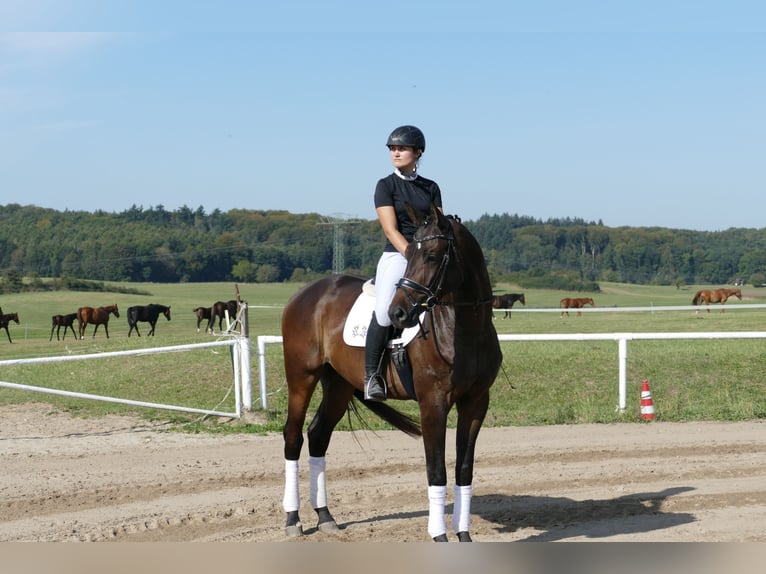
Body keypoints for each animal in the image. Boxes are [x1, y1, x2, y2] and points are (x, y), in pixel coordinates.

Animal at [282, 205, 504, 544]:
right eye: (410, 252)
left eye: (433, 256)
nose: (398, 313)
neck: (464, 327)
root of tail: (305, 294)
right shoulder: (433, 403)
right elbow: (436, 469)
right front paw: (439, 536)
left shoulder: (476, 402)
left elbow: (464, 469)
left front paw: (464, 535)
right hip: (301, 378)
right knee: (293, 437)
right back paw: (293, 520)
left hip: (339, 384)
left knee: (318, 435)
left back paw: (325, 517)